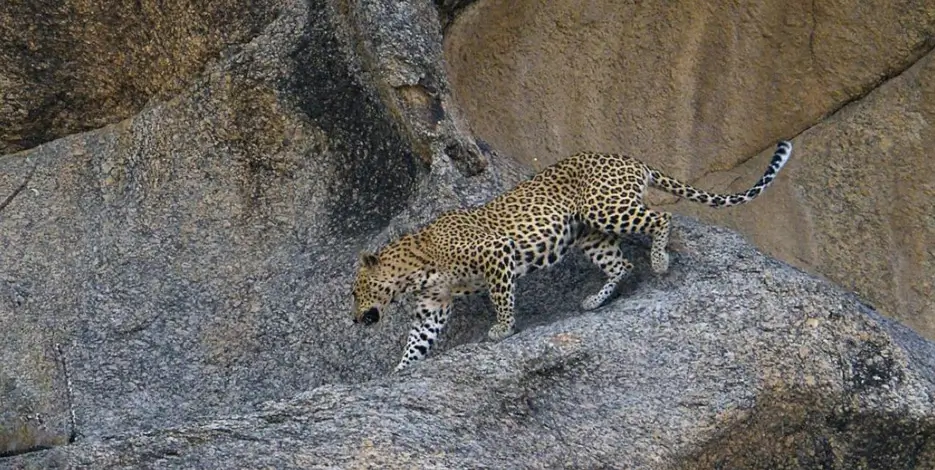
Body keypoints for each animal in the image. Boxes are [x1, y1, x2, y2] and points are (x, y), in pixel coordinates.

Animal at [352, 140, 793, 372]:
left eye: (357, 292)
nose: (355, 319)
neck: (414, 271)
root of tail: (630, 158)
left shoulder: (496, 253)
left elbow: (501, 298)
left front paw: (502, 330)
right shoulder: (433, 306)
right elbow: (417, 342)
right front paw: (398, 372)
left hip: (606, 207)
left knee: (662, 217)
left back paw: (660, 261)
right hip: (591, 236)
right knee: (621, 263)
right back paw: (595, 300)